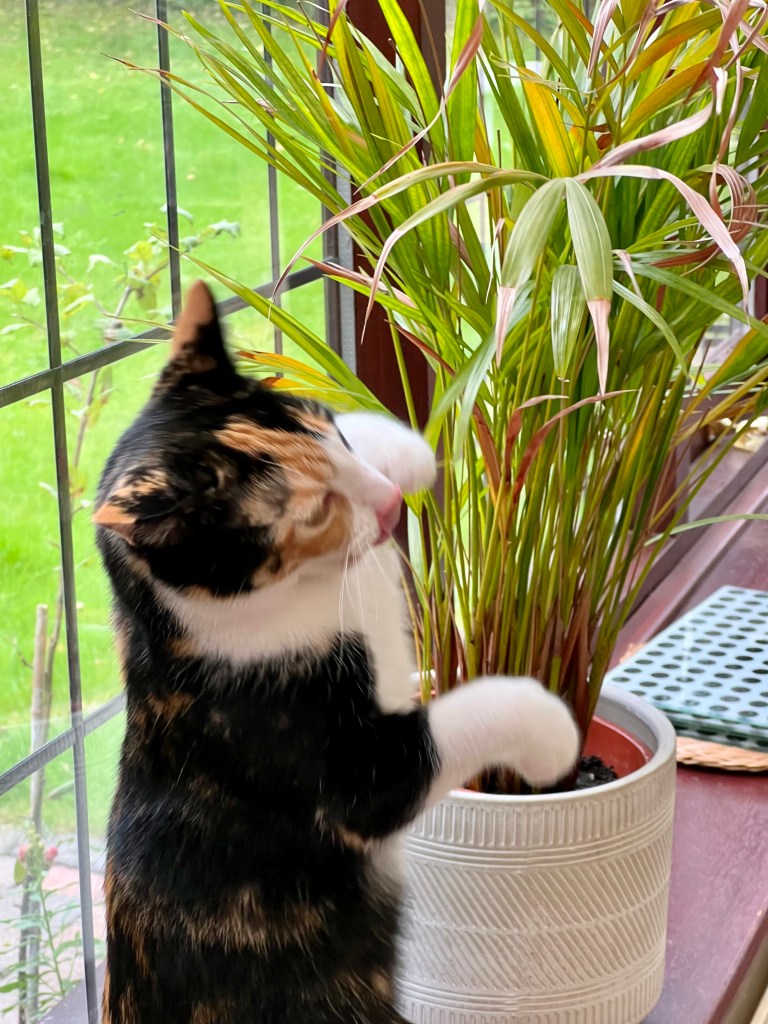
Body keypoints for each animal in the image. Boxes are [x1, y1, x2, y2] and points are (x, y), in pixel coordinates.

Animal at [94, 281, 579, 1024]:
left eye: (325, 423)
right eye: (314, 511)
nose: (387, 507)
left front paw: (401, 448)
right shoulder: (342, 764)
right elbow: (456, 723)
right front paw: (553, 732)